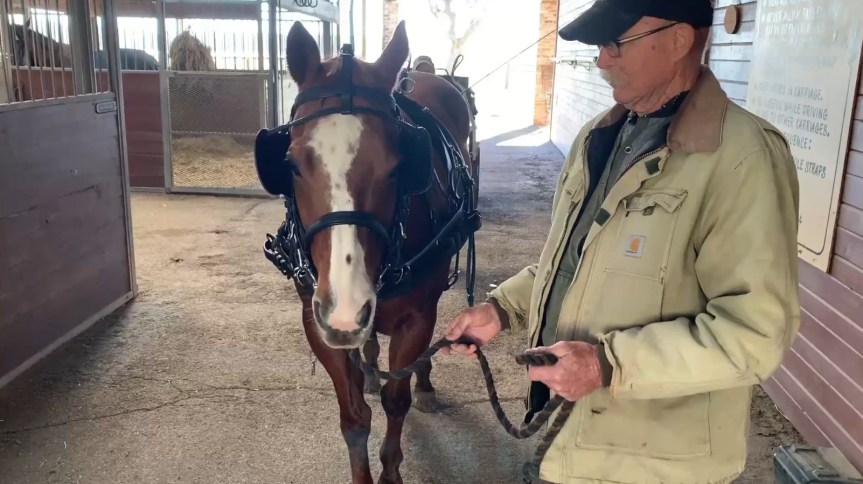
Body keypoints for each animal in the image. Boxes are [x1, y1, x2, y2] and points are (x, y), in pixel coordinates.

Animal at [253, 20, 480, 484]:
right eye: (291, 164)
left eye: (399, 167)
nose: (346, 307)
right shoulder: (317, 319)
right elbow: (355, 417)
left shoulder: (417, 317)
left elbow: (397, 401)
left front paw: (391, 468)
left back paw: (422, 382)